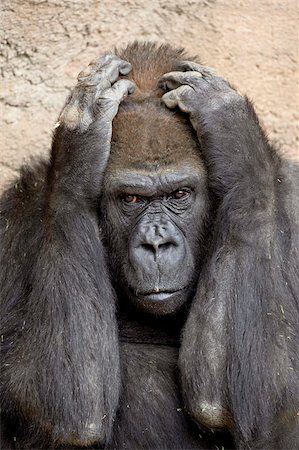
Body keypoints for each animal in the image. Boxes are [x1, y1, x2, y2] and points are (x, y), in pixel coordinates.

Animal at [0, 42, 298, 450]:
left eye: (180, 194)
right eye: (131, 199)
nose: (157, 243)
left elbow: (241, 397)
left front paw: (235, 137)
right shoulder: (12, 221)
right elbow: (65, 413)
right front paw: (80, 142)